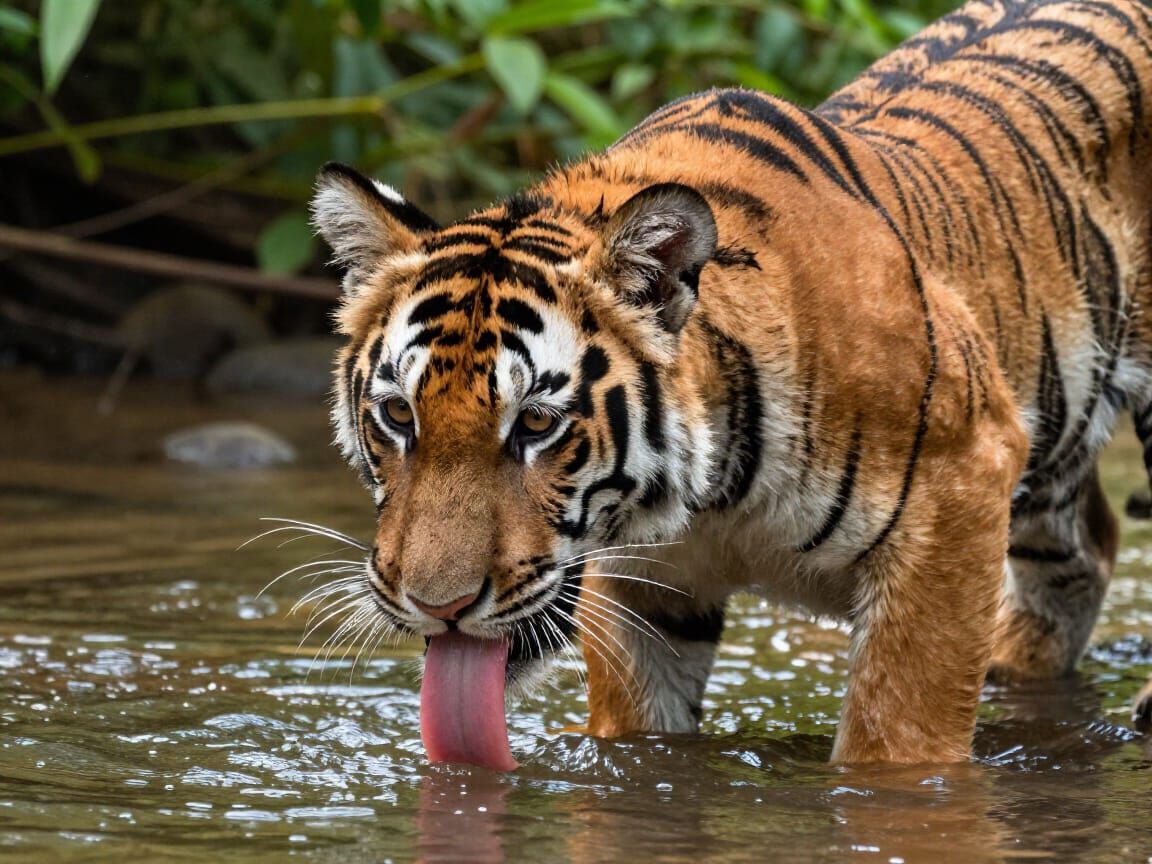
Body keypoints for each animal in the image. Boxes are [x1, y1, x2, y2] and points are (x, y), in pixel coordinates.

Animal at [309, 0, 1152, 766]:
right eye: (398, 415)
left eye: (538, 424)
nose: (438, 609)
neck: (713, 499)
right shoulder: (644, 592)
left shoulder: (961, 488)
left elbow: (897, 742)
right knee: (1087, 549)